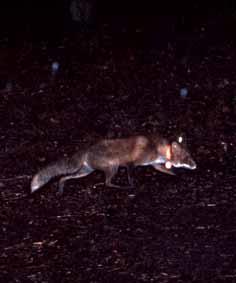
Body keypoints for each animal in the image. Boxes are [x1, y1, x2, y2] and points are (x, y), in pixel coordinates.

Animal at [30, 134, 197, 194]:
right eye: (187, 157)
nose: (195, 166)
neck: (155, 148)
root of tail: (86, 149)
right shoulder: (131, 163)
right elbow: (131, 177)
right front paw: (132, 186)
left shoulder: (154, 165)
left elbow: (169, 172)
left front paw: (178, 176)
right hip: (113, 167)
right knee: (107, 183)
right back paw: (122, 188)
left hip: (86, 171)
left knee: (62, 178)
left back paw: (60, 189)